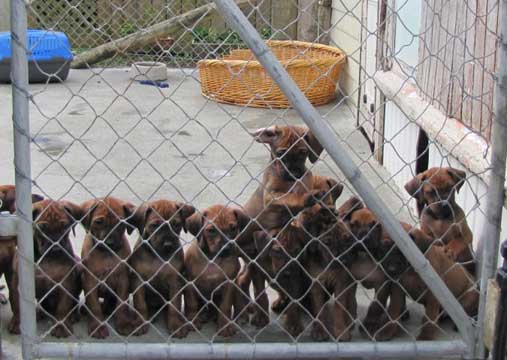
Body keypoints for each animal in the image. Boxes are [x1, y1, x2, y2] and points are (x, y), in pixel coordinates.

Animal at [7, 200, 82, 338]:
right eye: (42, 228)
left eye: (65, 226)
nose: (56, 247)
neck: (48, 258)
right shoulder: (17, 283)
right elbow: (16, 304)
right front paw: (17, 322)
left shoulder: (65, 282)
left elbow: (63, 307)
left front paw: (61, 326)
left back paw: (73, 315)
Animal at [80, 195, 139, 338]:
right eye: (98, 222)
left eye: (120, 224)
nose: (110, 243)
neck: (106, 253)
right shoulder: (90, 280)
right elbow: (94, 305)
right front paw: (97, 327)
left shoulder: (123, 279)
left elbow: (121, 305)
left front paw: (123, 323)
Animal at [129, 200, 194, 338]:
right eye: (154, 225)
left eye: (176, 224)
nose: (168, 245)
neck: (158, 255)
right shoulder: (138, 280)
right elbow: (140, 304)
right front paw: (141, 323)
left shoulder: (175, 282)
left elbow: (173, 306)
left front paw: (175, 325)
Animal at [186, 205, 251, 338]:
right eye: (211, 230)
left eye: (233, 228)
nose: (226, 248)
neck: (213, 259)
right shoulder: (190, 282)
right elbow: (191, 303)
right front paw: (192, 321)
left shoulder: (228, 284)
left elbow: (225, 307)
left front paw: (224, 326)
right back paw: (203, 315)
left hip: (236, 285)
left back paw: (240, 316)